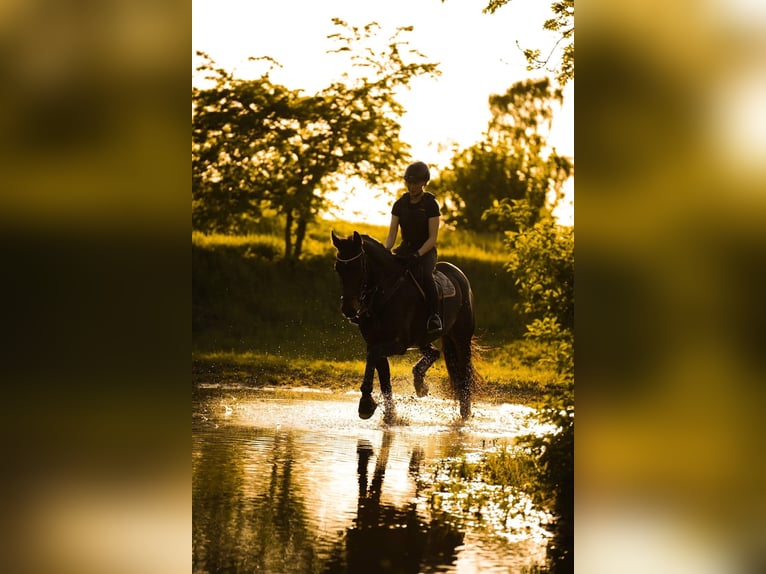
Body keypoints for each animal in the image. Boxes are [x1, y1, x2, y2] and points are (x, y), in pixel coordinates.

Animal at [331, 230, 476, 421]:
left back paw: (465, 412)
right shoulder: (375, 342)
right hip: (423, 338)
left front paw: (366, 404)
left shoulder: (397, 344)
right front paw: (390, 415)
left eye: (358, 268)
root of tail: (459, 275)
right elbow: (384, 379)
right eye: (338, 268)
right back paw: (420, 385)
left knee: (464, 371)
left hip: (461, 338)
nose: (348, 309)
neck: (383, 293)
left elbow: (372, 357)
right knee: (434, 352)